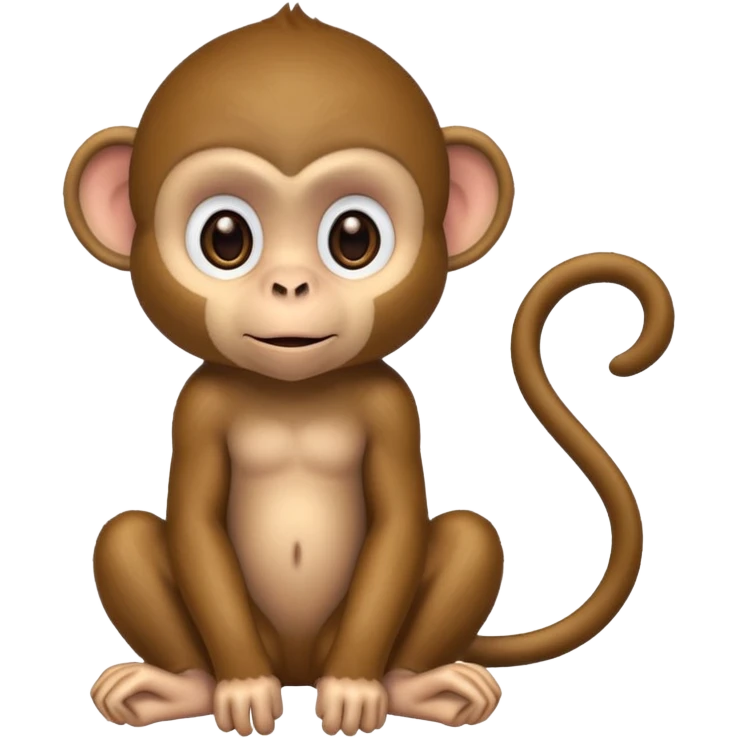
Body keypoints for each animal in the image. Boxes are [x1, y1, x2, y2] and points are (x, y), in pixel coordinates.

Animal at [66, 6, 676, 736]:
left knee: (470, 538)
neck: (295, 394)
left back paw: (414, 685)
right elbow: (195, 523)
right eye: (226, 238)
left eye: (353, 238)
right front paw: (241, 687)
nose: (291, 285)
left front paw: (355, 690)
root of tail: (299, 668)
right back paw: (183, 686)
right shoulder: (199, 404)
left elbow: (398, 521)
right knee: (123, 538)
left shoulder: (391, 403)